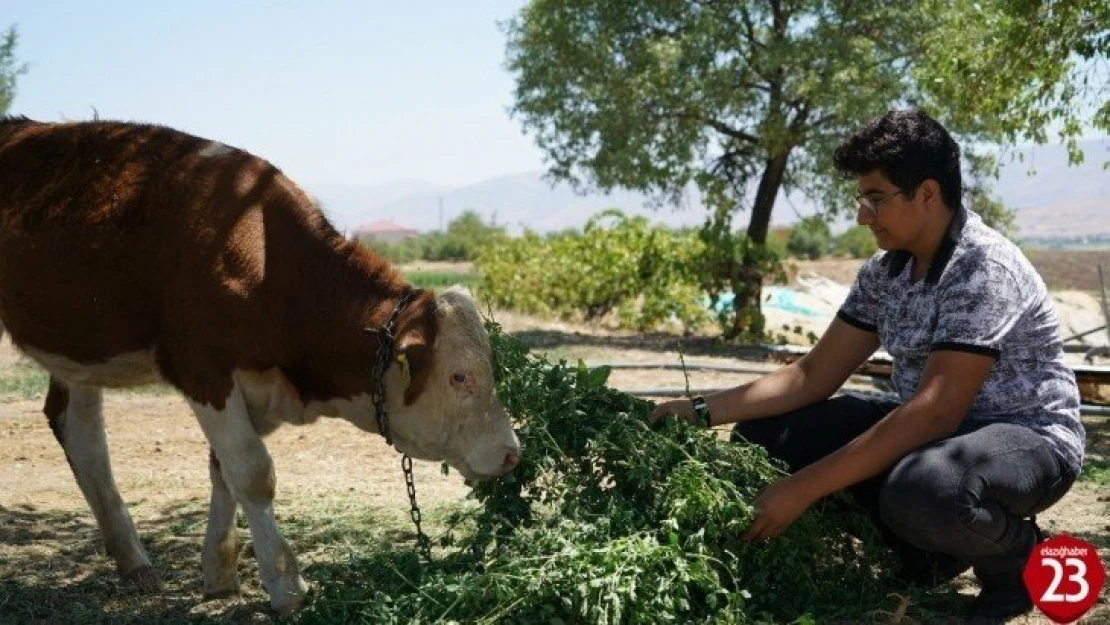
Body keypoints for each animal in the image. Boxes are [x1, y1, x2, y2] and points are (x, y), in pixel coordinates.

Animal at [0, 116, 519, 612]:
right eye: (459, 376)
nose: (512, 453)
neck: (262, 257)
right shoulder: (203, 371)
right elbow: (253, 473)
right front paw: (286, 585)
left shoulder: (255, 386)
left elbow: (223, 472)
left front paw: (219, 574)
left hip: (79, 350)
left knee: (80, 433)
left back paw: (134, 561)